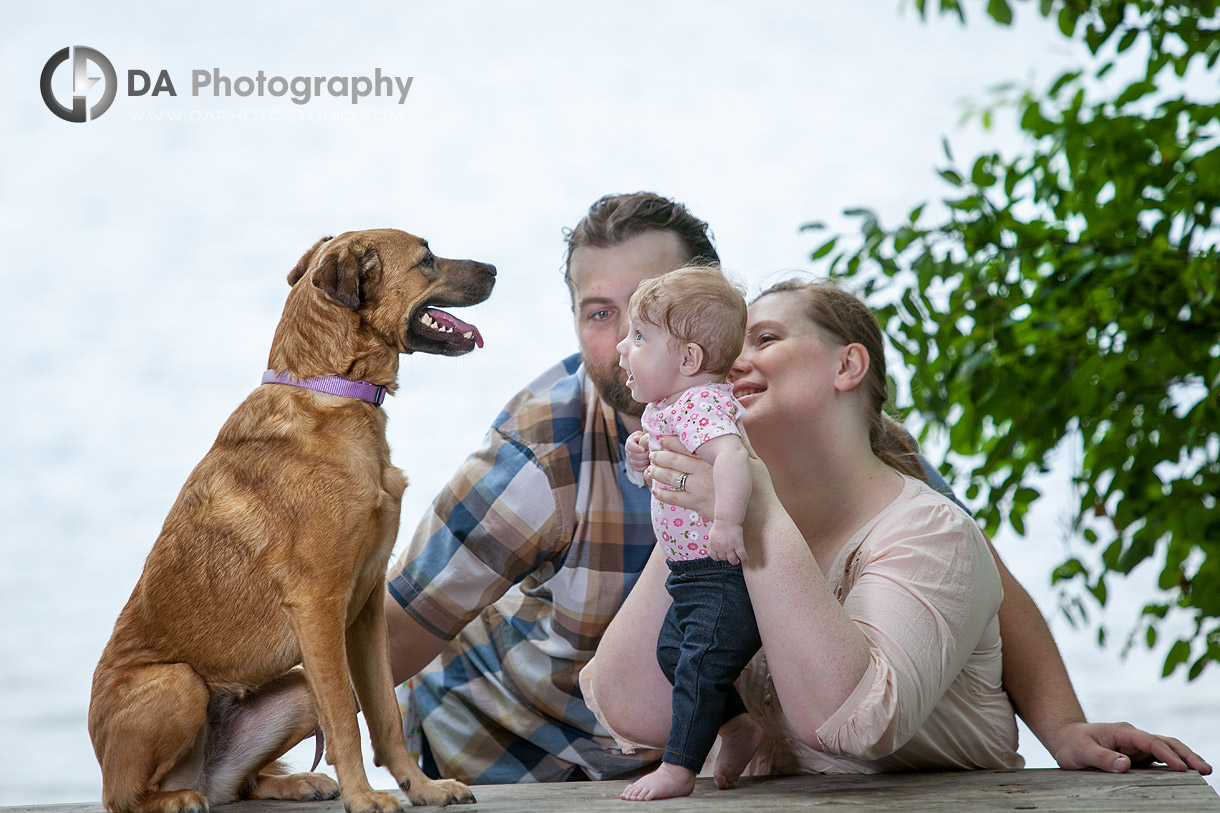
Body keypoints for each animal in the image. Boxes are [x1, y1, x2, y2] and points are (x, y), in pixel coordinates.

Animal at [86, 229, 495, 810]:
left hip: (296, 689)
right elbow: (346, 715)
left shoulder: (367, 606)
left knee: (240, 784)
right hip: (178, 685)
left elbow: (384, 713)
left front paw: (423, 787)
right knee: (125, 797)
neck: (330, 389)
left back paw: (295, 781)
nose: (496, 270)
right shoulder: (319, 605)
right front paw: (366, 798)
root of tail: (197, 773)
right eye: (427, 259)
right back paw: (176, 798)